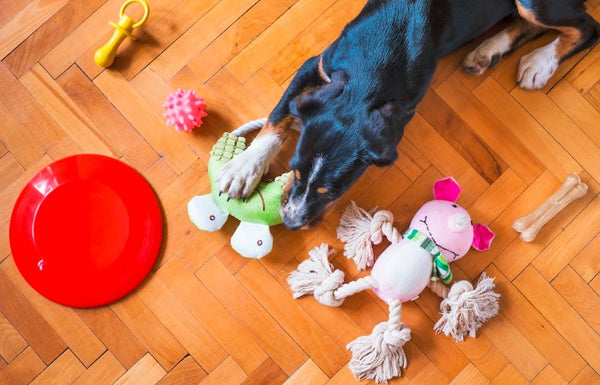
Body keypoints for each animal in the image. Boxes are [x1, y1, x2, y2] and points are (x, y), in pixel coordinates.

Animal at [218, 0, 596, 230]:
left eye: (331, 190)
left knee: (587, 29)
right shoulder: (317, 65)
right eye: (294, 170)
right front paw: (243, 168)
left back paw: (540, 63)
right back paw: (488, 51)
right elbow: (278, 115)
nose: (292, 222)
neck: (379, 59)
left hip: (535, 4)